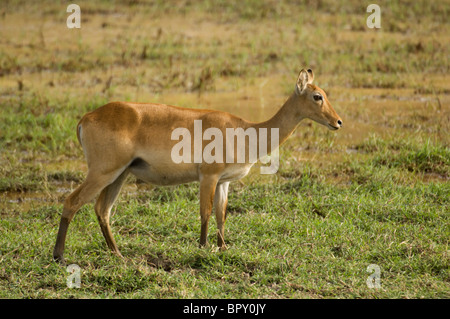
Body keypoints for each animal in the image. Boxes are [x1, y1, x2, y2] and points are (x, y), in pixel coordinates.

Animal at [51, 68, 342, 262]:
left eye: (325, 94)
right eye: (317, 96)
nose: (338, 122)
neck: (247, 132)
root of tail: (86, 117)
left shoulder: (223, 181)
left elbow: (222, 214)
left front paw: (223, 248)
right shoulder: (208, 176)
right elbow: (206, 212)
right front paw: (202, 249)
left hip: (119, 175)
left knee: (102, 209)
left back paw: (118, 254)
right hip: (103, 172)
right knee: (72, 202)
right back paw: (59, 256)